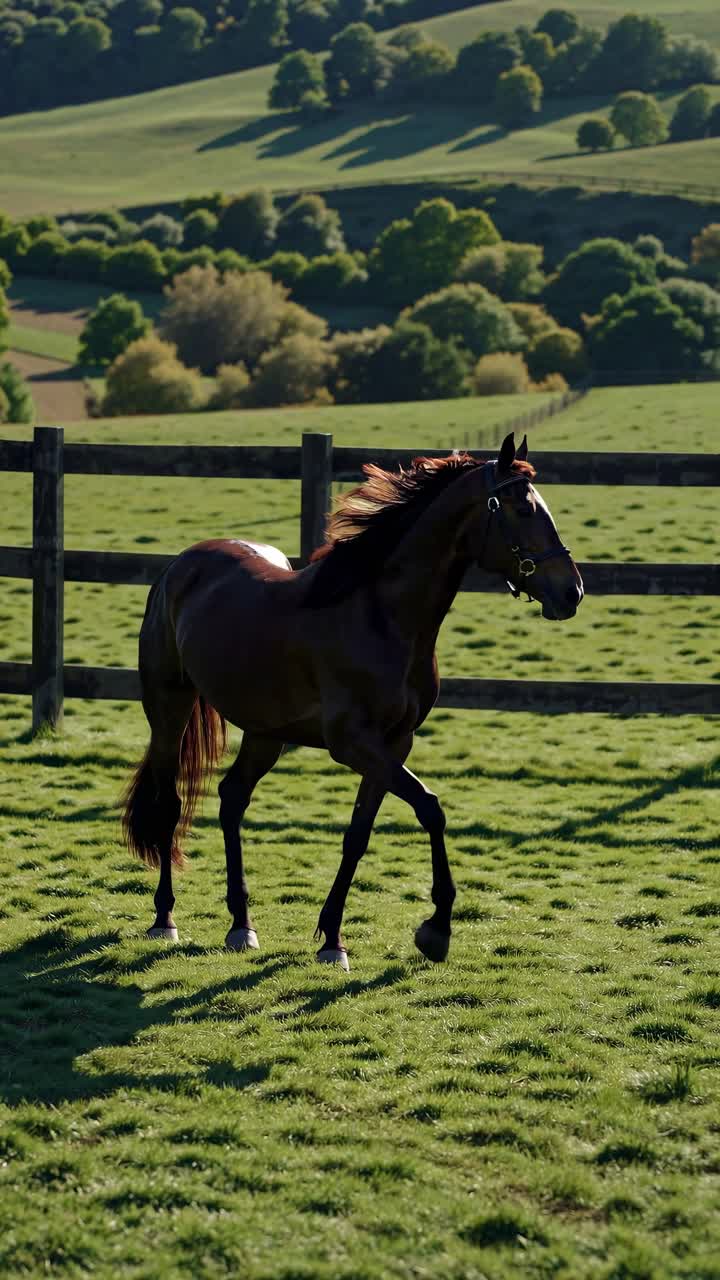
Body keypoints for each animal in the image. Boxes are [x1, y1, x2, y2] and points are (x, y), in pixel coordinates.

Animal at [122, 431, 583, 969]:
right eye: (523, 507)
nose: (571, 592)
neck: (381, 617)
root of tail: (180, 566)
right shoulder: (354, 744)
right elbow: (430, 808)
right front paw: (436, 929)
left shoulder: (393, 744)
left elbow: (358, 834)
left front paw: (333, 939)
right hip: (168, 708)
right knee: (170, 803)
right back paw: (165, 919)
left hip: (265, 732)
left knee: (232, 799)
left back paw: (242, 925)